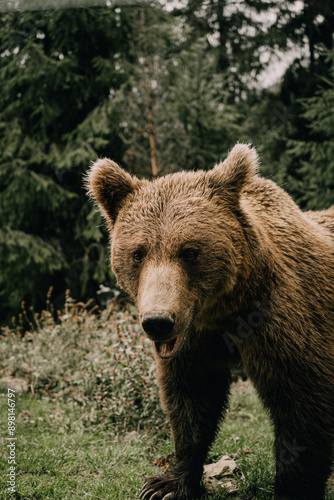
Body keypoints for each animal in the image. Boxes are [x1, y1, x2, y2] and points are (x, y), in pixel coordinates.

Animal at [87, 143, 334, 498]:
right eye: (138, 253)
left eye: (189, 251)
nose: (157, 322)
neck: (223, 309)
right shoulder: (195, 336)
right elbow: (192, 398)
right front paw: (167, 483)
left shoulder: (284, 322)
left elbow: (302, 406)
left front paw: (292, 487)